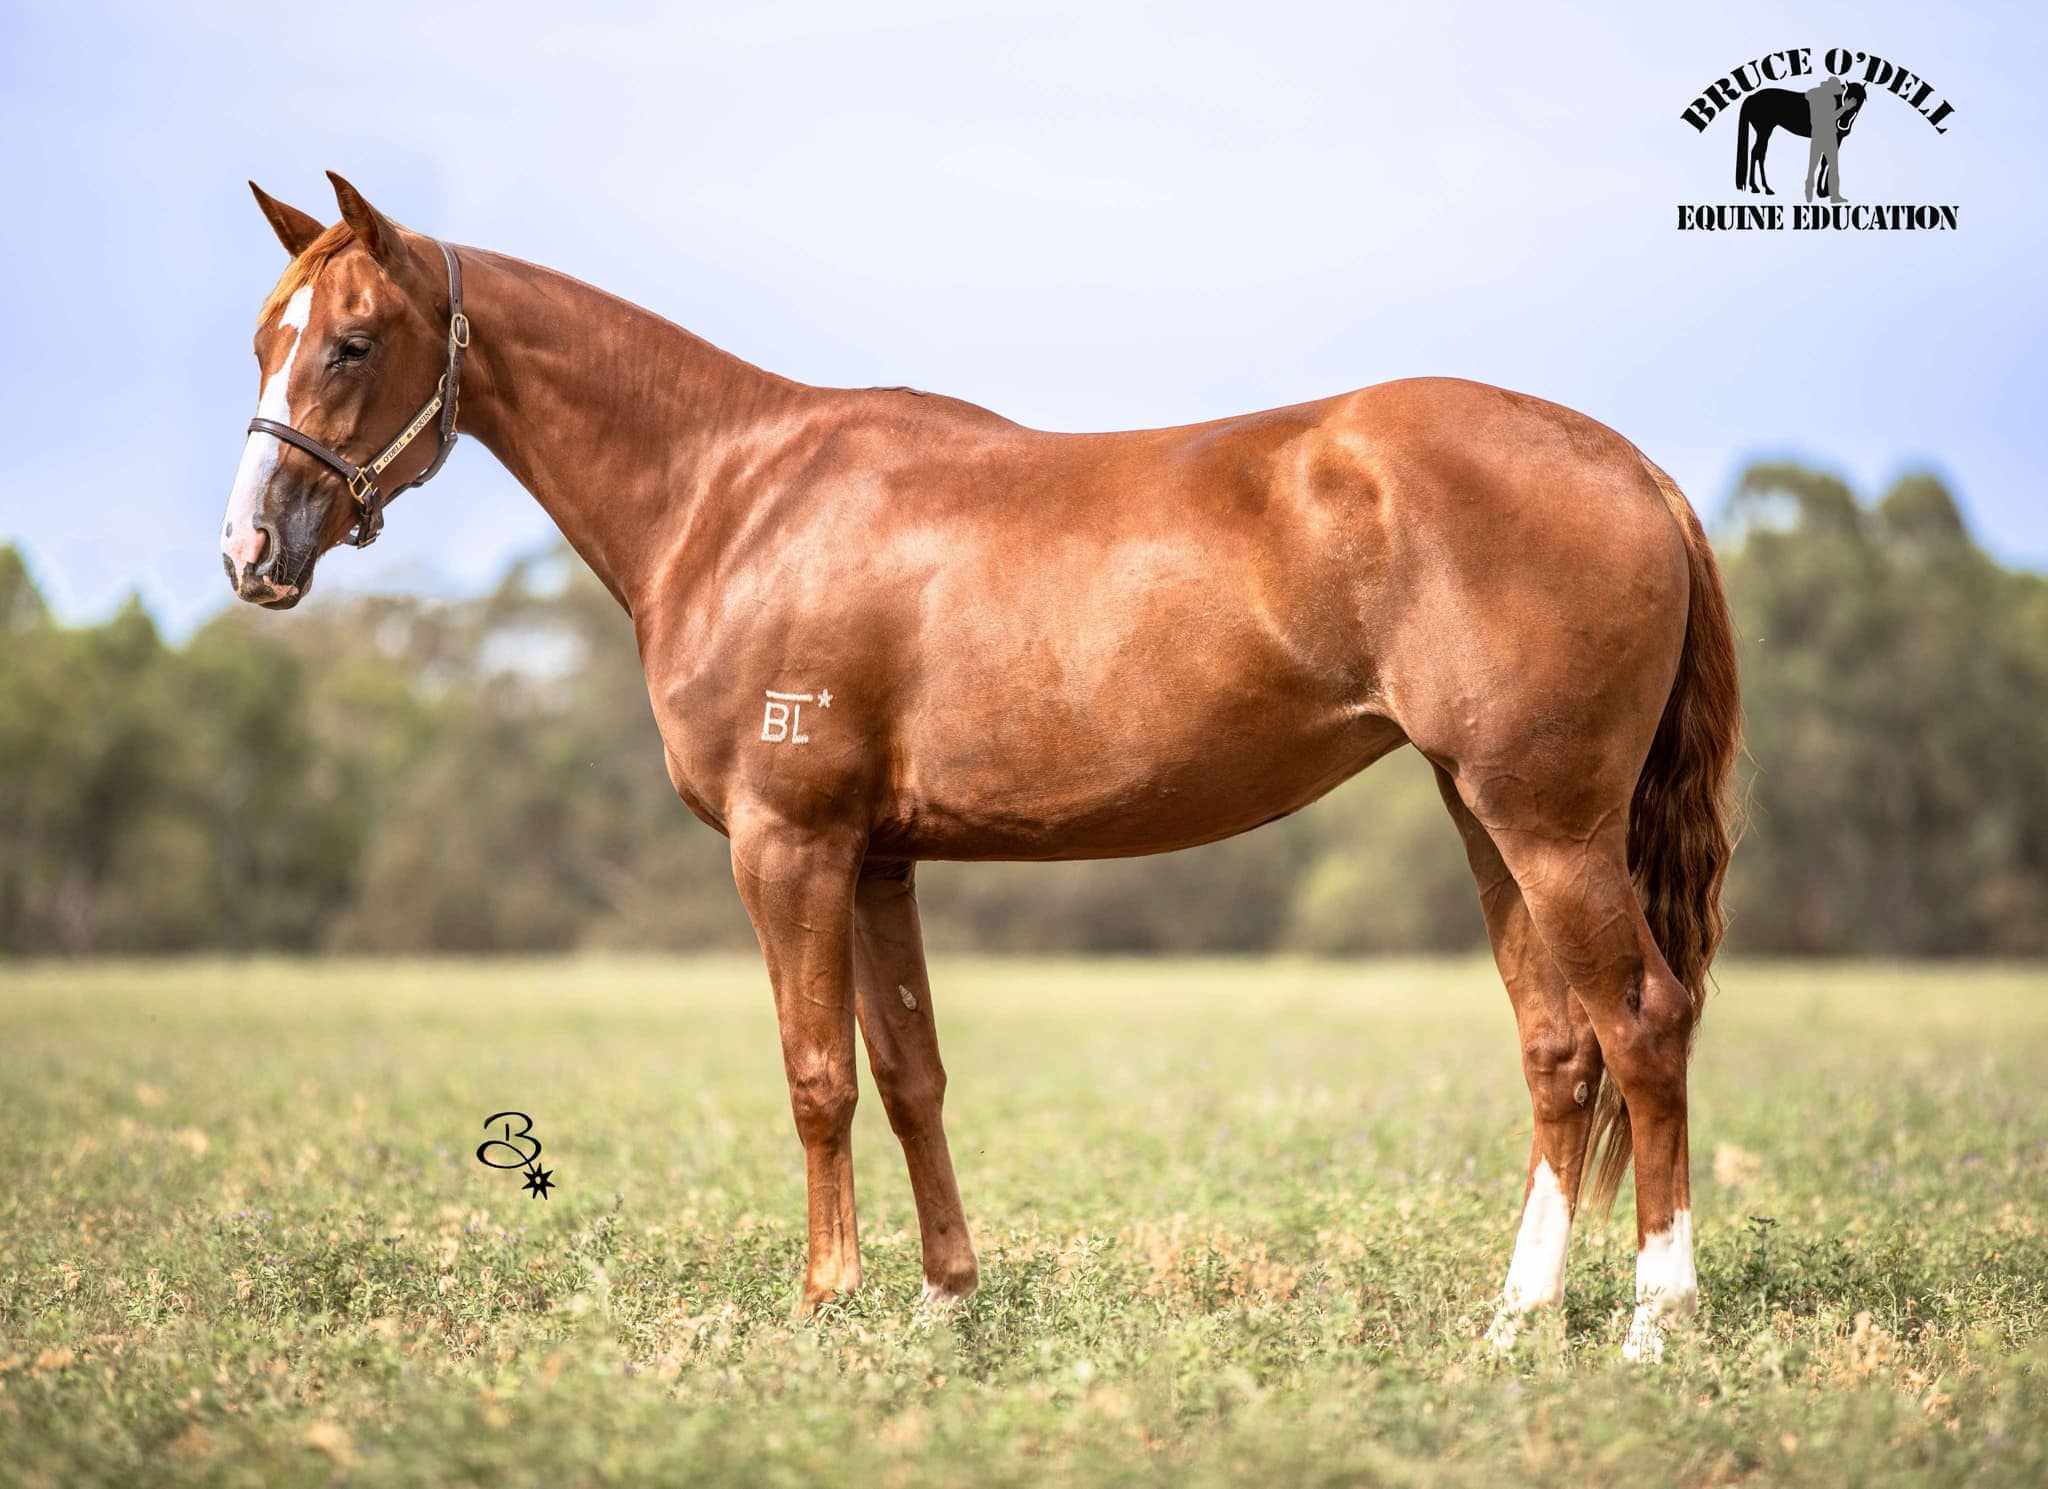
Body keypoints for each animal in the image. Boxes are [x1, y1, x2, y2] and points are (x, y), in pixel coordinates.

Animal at [222, 174, 1740, 1362]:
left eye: (350, 342)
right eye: (262, 339)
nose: (251, 551)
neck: (736, 496)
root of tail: (1635, 469)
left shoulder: (788, 844)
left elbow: (817, 1075)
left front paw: (825, 1302)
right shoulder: (878, 856)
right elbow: (910, 1074)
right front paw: (945, 1300)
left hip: (1550, 825)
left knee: (1643, 1023)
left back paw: (1656, 1321)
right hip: (1488, 818)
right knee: (1559, 1050)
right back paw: (1516, 1321)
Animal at [1736, 81, 1867, 196]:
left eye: (1861, 99)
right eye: (1846, 96)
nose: (1843, 124)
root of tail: (1752, 97)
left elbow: (1828, 161)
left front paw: (1826, 191)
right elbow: (1826, 161)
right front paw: (1821, 191)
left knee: (1758, 154)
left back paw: (1759, 187)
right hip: (1764, 131)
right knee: (1757, 154)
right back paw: (1761, 188)